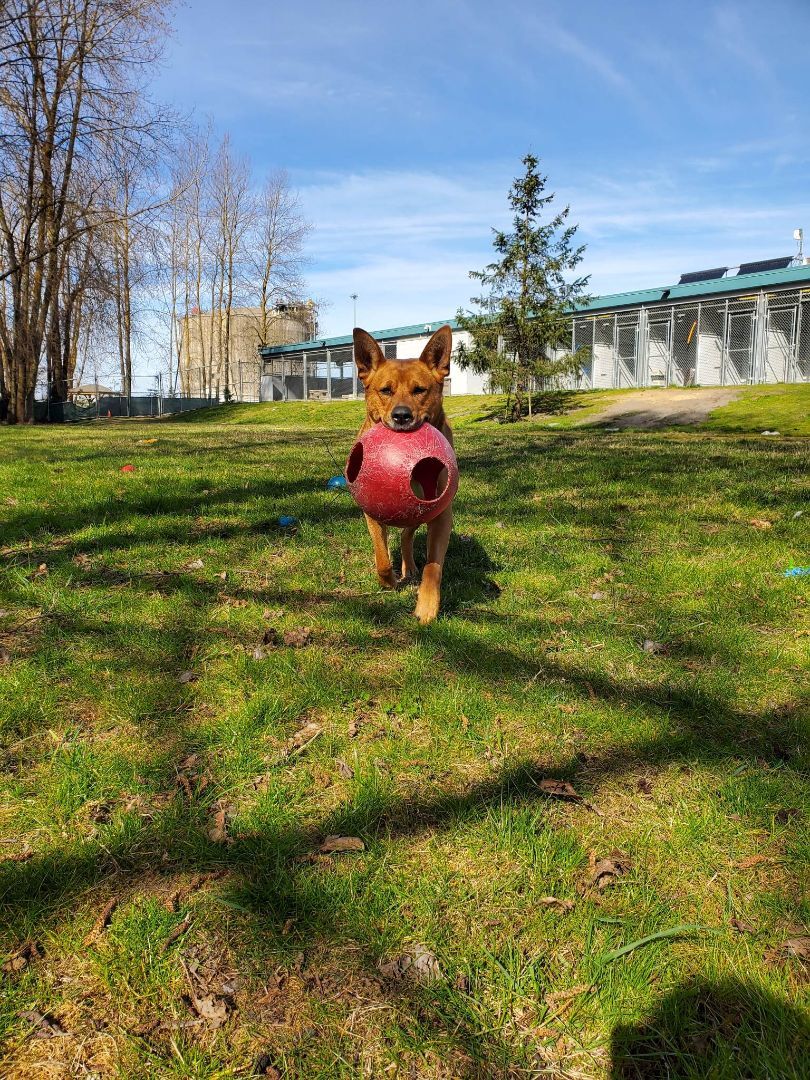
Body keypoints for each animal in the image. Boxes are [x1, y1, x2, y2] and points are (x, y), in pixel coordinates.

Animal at [354, 319, 457, 626]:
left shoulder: (441, 513)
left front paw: (427, 606)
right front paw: (388, 581)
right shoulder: (371, 510)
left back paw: (409, 566)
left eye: (419, 390)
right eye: (385, 390)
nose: (401, 416)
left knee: (406, 536)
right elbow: (381, 556)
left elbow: (434, 567)